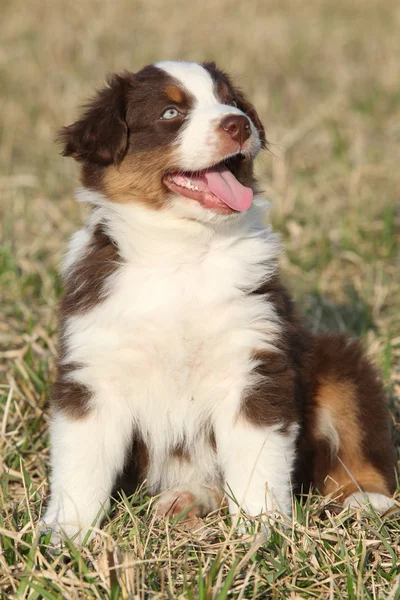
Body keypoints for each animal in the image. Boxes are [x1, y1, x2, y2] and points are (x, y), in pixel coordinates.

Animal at [41, 62, 396, 544]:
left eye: (231, 102)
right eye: (170, 112)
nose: (239, 124)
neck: (183, 252)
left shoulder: (254, 366)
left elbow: (256, 463)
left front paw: (261, 534)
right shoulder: (93, 371)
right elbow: (81, 463)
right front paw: (66, 537)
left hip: (340, 364)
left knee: (359, 439)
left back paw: (366, 500)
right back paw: (188, 500)